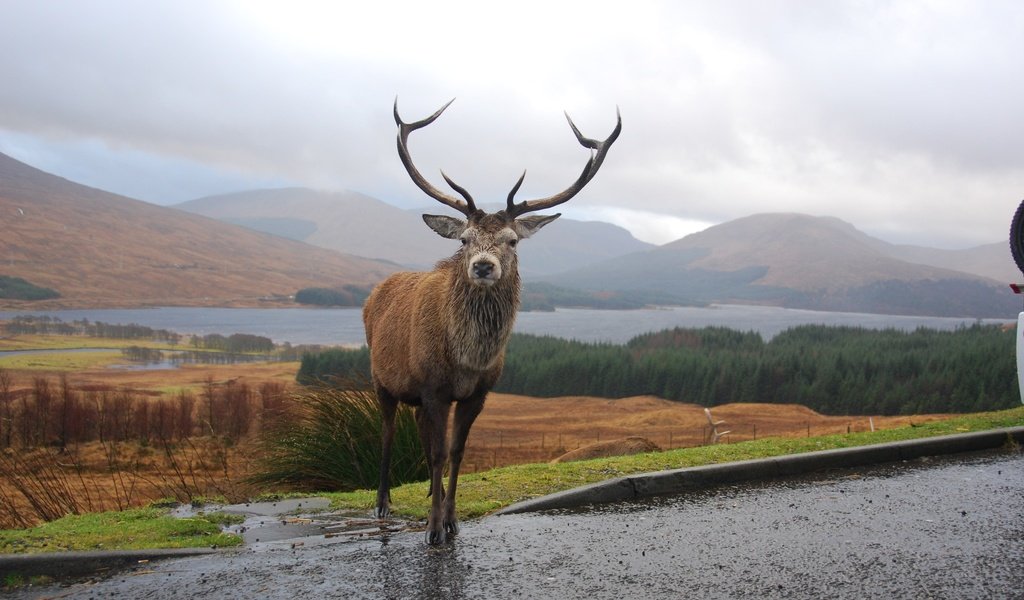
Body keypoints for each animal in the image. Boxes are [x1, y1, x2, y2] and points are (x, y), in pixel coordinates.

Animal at [366, 99, 622, 540]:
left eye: (512, 240)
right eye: (464, 238)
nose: (483, 266)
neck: (467, 359)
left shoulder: (478, 393)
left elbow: (456, 452)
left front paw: (450, 519)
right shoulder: (433, 387)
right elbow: (438, 453)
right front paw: (433, 528)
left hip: (414, 395)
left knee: (417, 431)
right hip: (382, 378)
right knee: (387, 432)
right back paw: (383, 503)